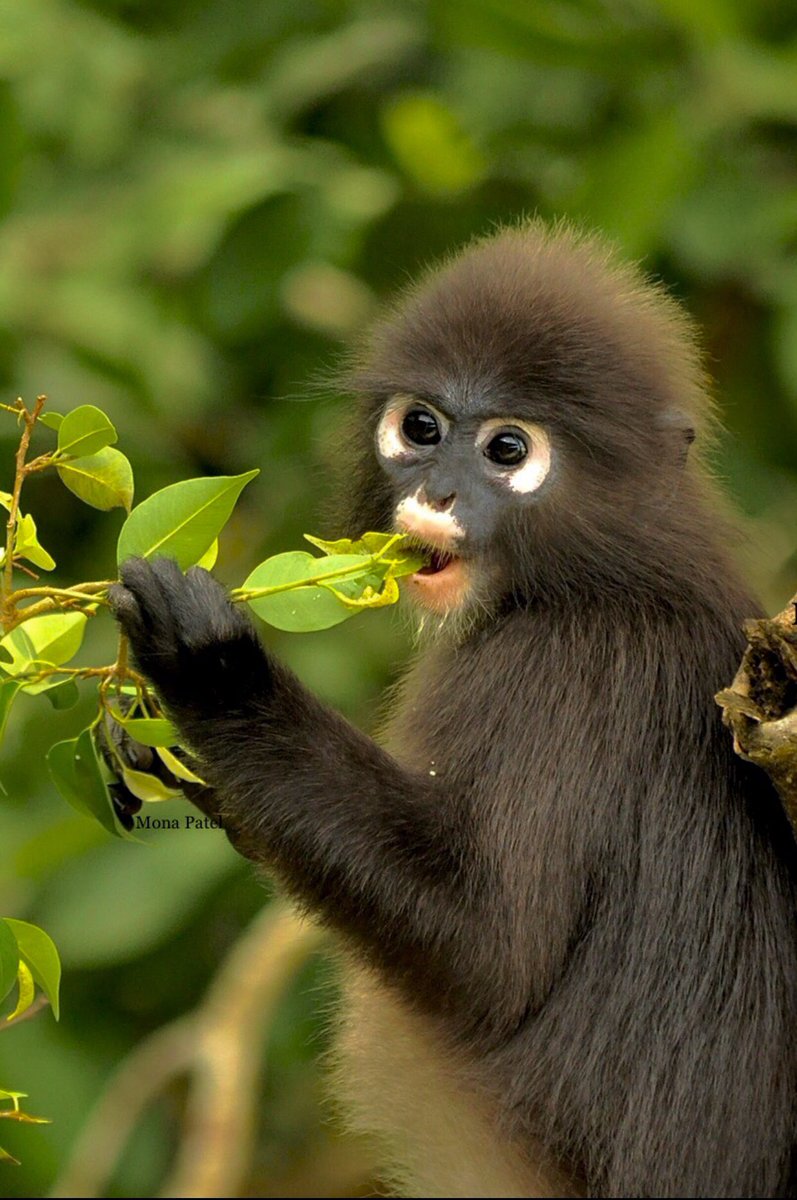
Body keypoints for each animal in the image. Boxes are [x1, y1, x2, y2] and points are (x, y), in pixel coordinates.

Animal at [111, 221, 797, 1198]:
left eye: (508, 450)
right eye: (421, 428)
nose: (436, 493)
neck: (601, 574)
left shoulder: (558, 673)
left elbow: (492, 955)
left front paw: (214, 672)